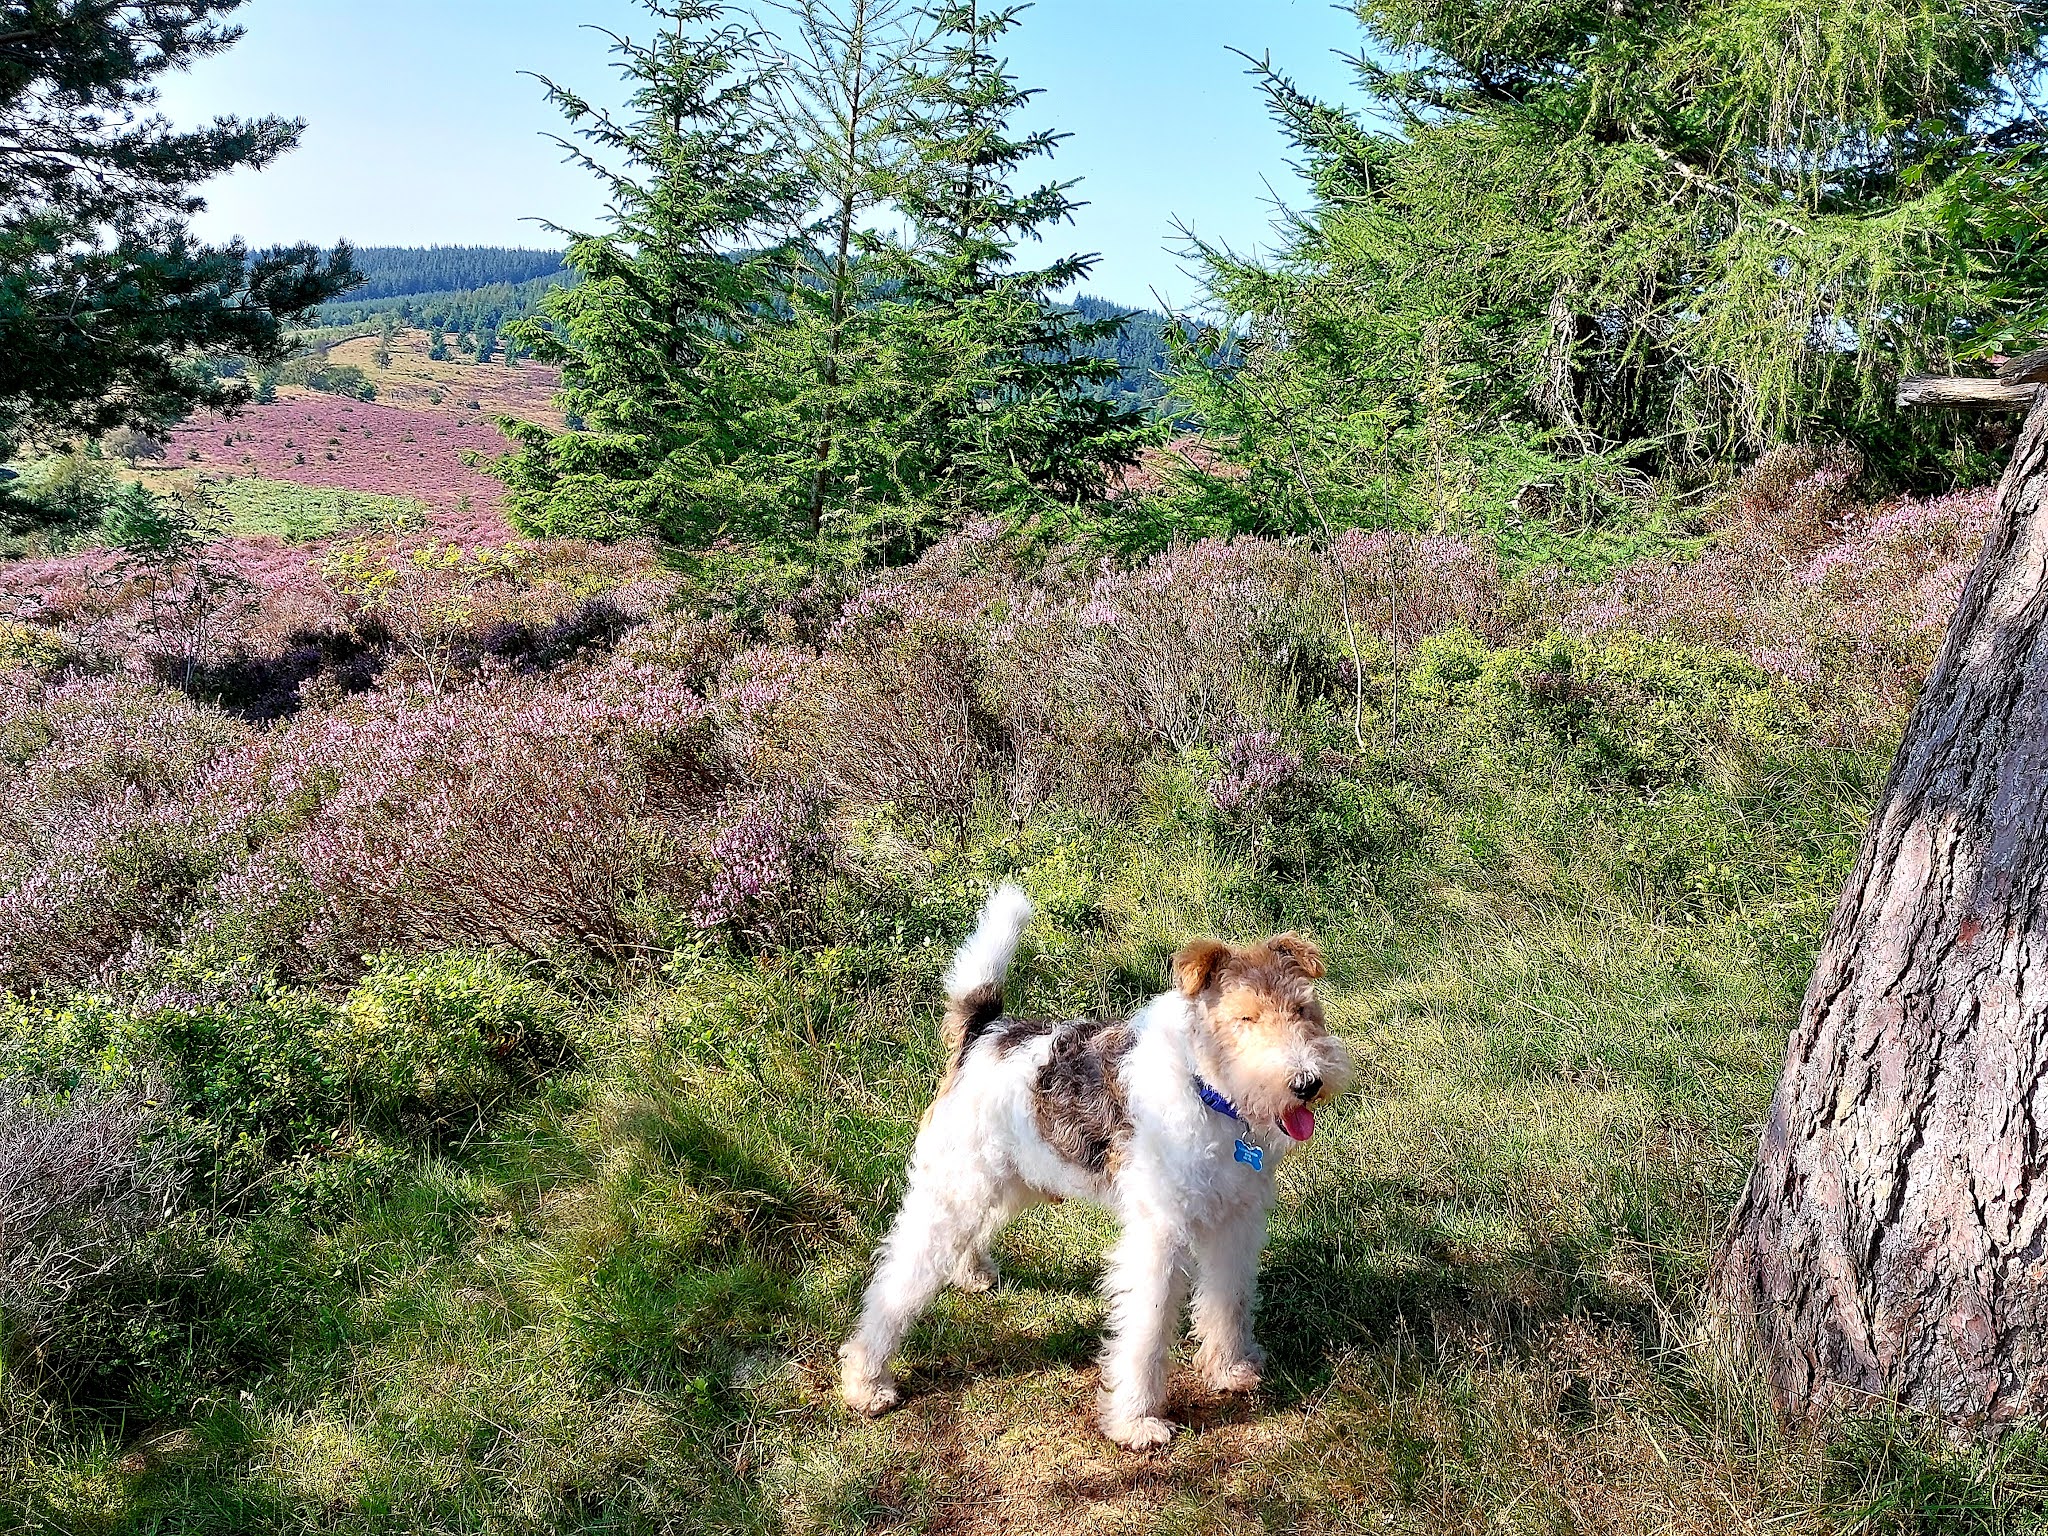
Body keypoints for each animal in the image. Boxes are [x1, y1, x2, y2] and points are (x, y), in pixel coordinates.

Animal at [838, 885, 1350, 1449]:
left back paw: (971, 1273)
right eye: (1245, 1018)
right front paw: (1137, 1422)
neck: (1207, 1090)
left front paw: (1230, 1369)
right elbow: (1146, 1329)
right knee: (896, 1282)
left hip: (1008, 1180)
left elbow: (1228, 1300)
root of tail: (987, 1032)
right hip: (956, 1188)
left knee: (964, 1238)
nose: (1306, 1083)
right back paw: (867, 1381)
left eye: (1303, 1009)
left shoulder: (1235, 1219)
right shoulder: (1159, 1233)